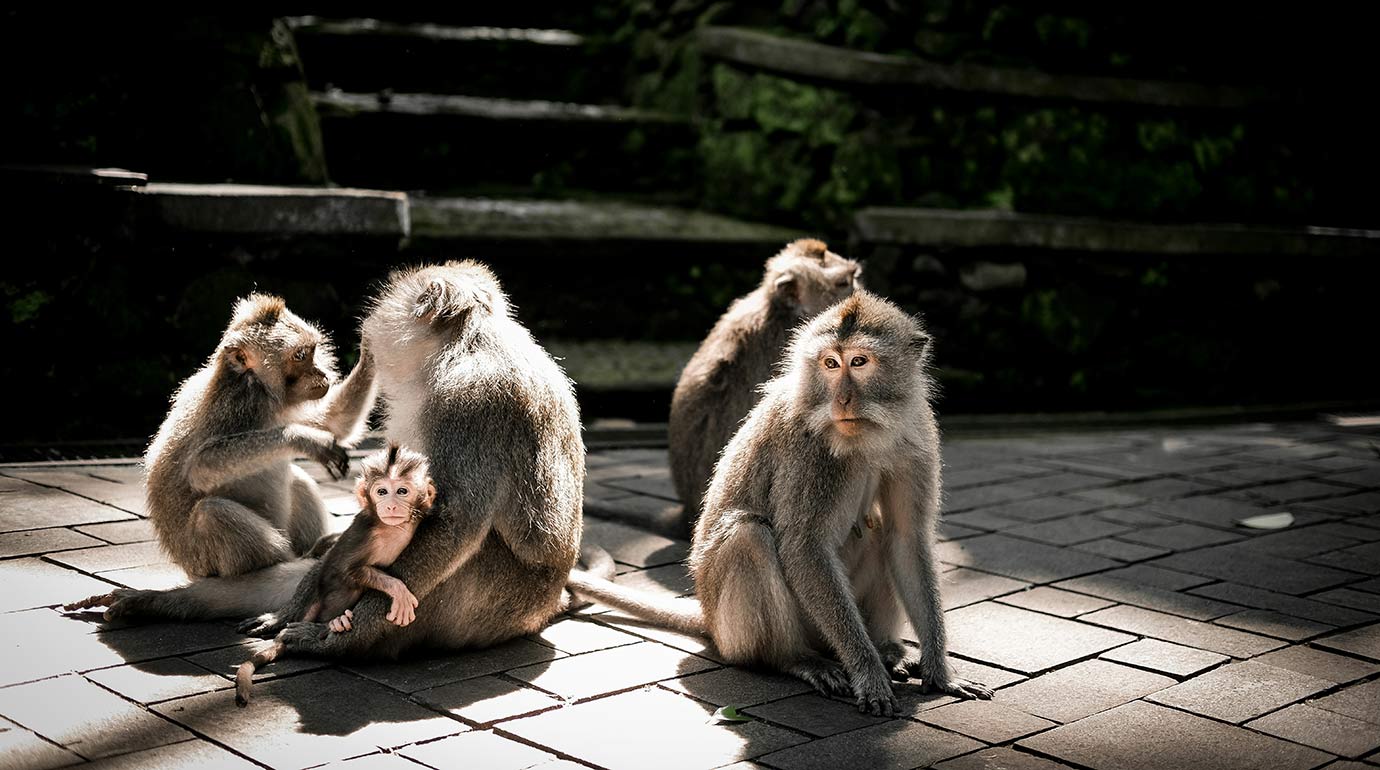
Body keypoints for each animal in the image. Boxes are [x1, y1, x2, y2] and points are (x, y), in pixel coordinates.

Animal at [142, 293, 377, 578]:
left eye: (312, 351)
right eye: (300, 355)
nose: (321, 373)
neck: (260, 388)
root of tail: (189, 568)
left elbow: (334, 422)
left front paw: (372, 348)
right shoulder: (238, 403)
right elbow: (201, 467)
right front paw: (303, 438)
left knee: (298, 480)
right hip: (204, 561)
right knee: (211, 514)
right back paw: (294, 561)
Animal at [234, 442, 435, 706]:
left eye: (402, 491)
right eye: (382, 491)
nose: (391, 505)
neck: (392, 528)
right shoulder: (365, 534)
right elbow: (345, 568)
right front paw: (398, 590)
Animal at [569, 291, 992, 716]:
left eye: (859, 361)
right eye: (830, 363)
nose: (842, 399)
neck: (867, 436)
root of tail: (709, 616)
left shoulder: (916, 438)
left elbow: (907, 538)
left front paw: (940, 672)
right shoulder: (808, 450)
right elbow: (803, 545)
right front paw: (868, 673)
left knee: (879, 529)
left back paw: (887, 650)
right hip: (745, 629)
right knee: (749, 534)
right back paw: (792, 659)